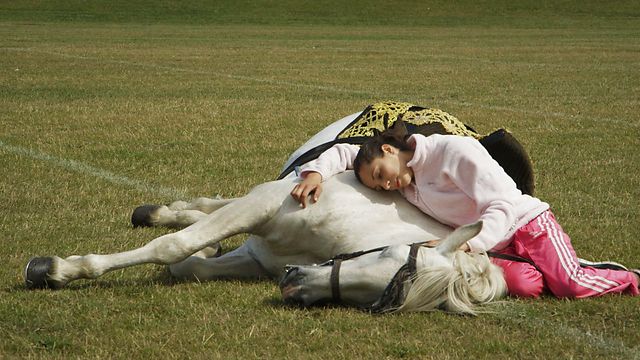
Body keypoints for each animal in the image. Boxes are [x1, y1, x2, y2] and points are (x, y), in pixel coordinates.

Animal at [23, 111, 504, 314]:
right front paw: (54, 268)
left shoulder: (258, 253)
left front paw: (204, 252)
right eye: (390, 257)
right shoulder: (267, 204)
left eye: (385, 302)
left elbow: (189, 264)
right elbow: (174, 246)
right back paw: (159, 212)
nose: (294, 284)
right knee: (214, 205)